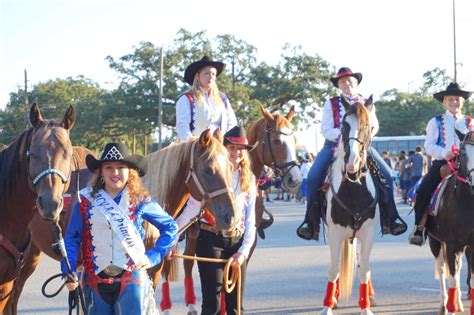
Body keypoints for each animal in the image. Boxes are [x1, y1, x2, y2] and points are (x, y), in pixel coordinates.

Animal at [424, 130, 474, 314]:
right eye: (462, 154)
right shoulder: (451, 244)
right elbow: (451, 279)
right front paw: (449, 308)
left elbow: (471, 279)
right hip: (435, 241)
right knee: (441, 269)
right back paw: (443, 304)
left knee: (457, 270)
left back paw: (458, 302)